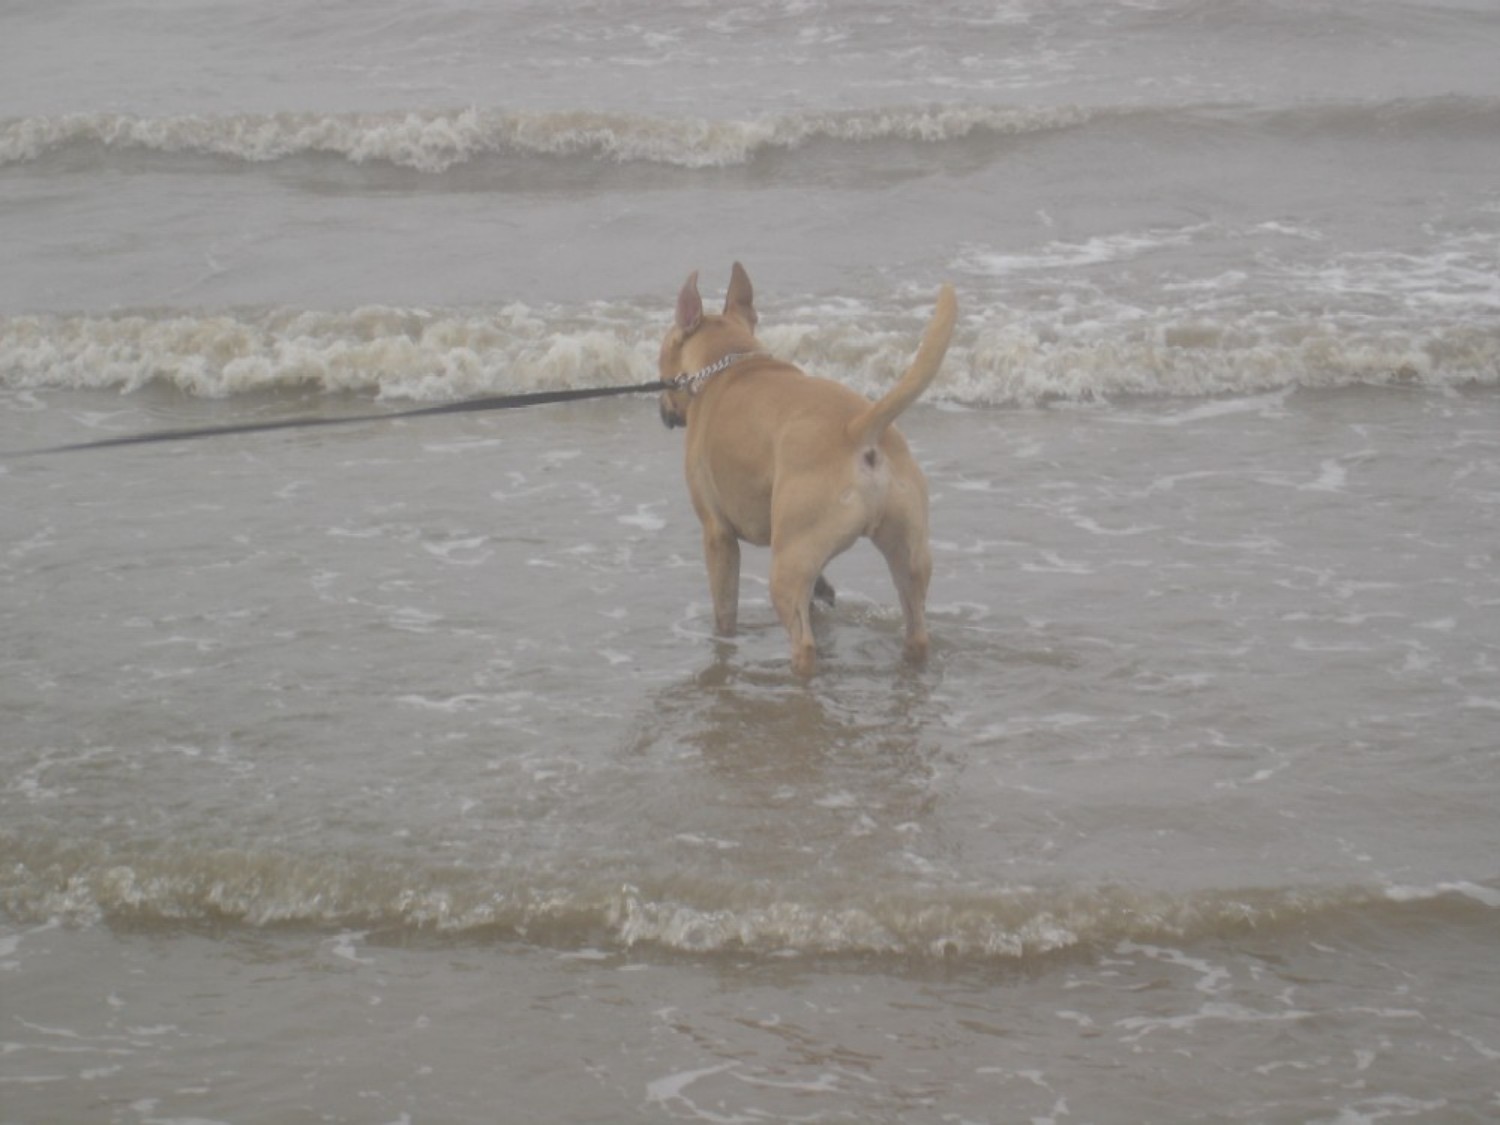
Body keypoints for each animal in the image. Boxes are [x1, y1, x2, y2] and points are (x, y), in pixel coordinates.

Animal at [658, 262, 957, 677]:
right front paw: (824, 589)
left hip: (786, 566)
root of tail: (857, 430)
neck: (732, 362)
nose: (663, 410)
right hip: (908, 553)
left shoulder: (717, 533)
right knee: (916, 627)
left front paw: (724, 640)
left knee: (803, 641)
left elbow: (725, 608)